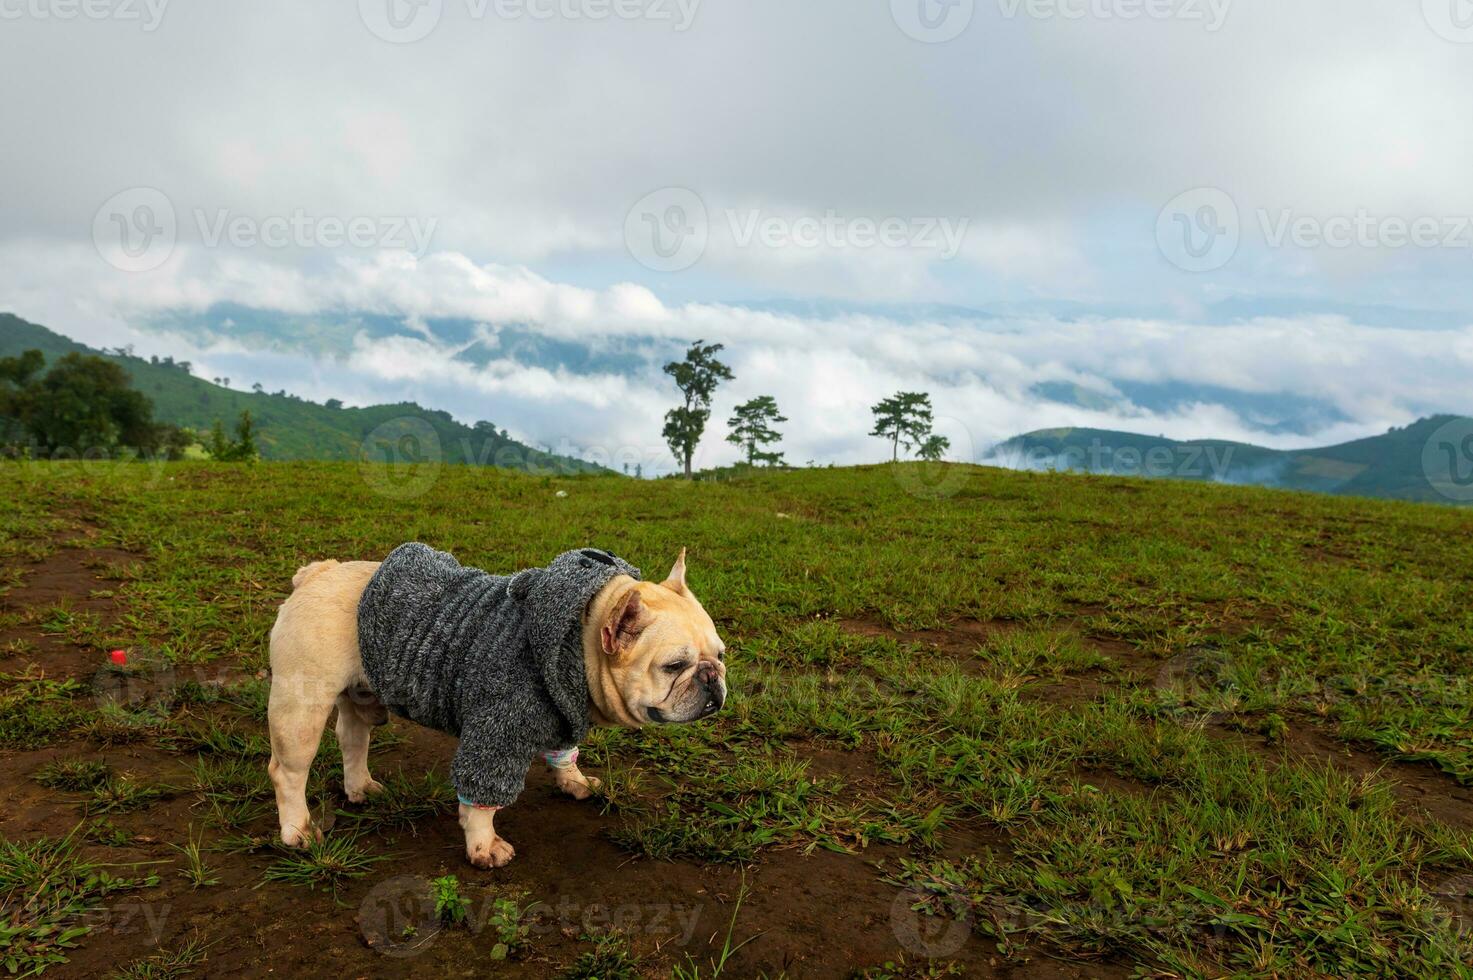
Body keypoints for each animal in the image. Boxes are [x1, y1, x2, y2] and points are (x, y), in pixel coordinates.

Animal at [268, 545, 727, 866]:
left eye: (721, 655)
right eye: (674, 666)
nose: (712, 677)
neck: (578, 640)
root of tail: (318, 572)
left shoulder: (562, 712)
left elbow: (565, 753)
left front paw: (573, 780)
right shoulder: (496, 732)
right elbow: (480, 798)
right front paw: (484, 845)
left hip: (362, 692)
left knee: (352, 735)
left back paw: (360, 787)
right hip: (301, 709)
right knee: (287, 771)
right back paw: (298, 831)